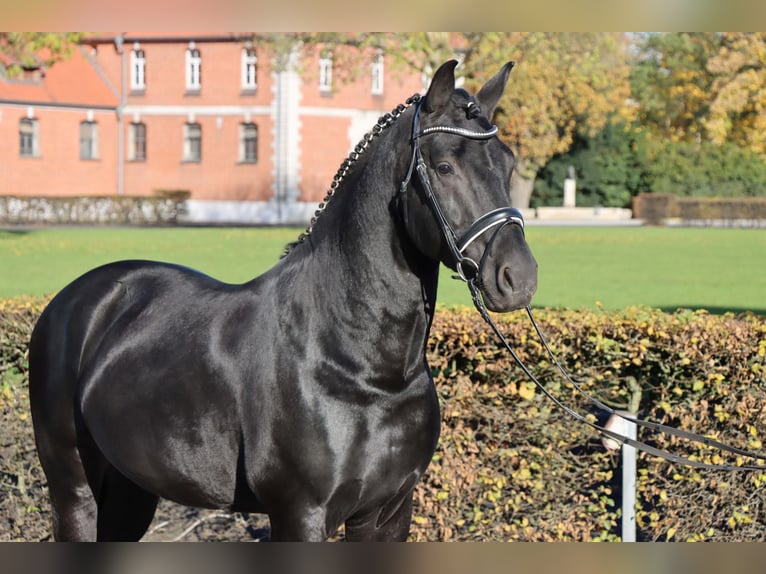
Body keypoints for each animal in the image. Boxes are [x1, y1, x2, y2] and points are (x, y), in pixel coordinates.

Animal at [28, 59, 538, 542]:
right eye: (444, 166)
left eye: (508, 163)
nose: (519, 276)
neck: (360, 368)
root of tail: (74, 301)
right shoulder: (300, 514)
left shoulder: (388, 513)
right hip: (74, 488)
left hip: (130, 490)